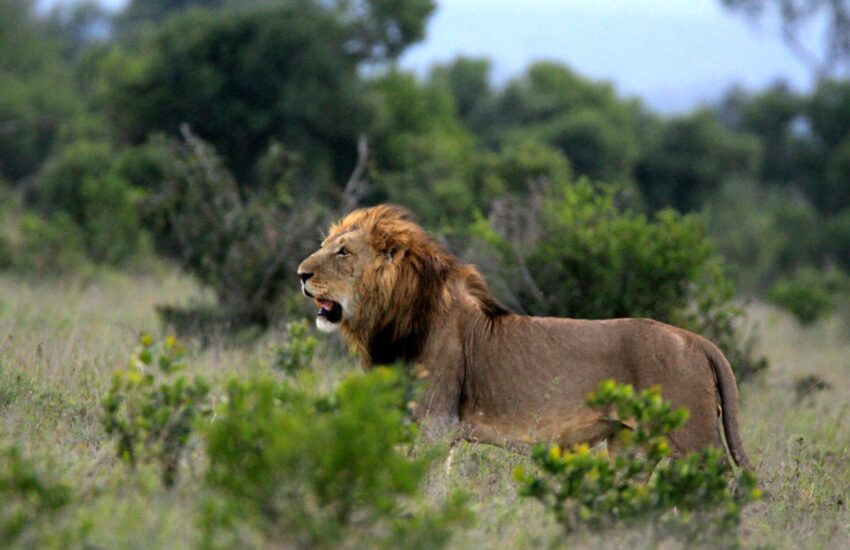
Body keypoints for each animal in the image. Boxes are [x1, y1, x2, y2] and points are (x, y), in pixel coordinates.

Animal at [296, 205, 751, 469]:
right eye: (326, 244)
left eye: (343, 252)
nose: (300, 274)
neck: (391, 319)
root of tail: (698, 341)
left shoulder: (436, 423)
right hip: (631, 444)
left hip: (694, 437)